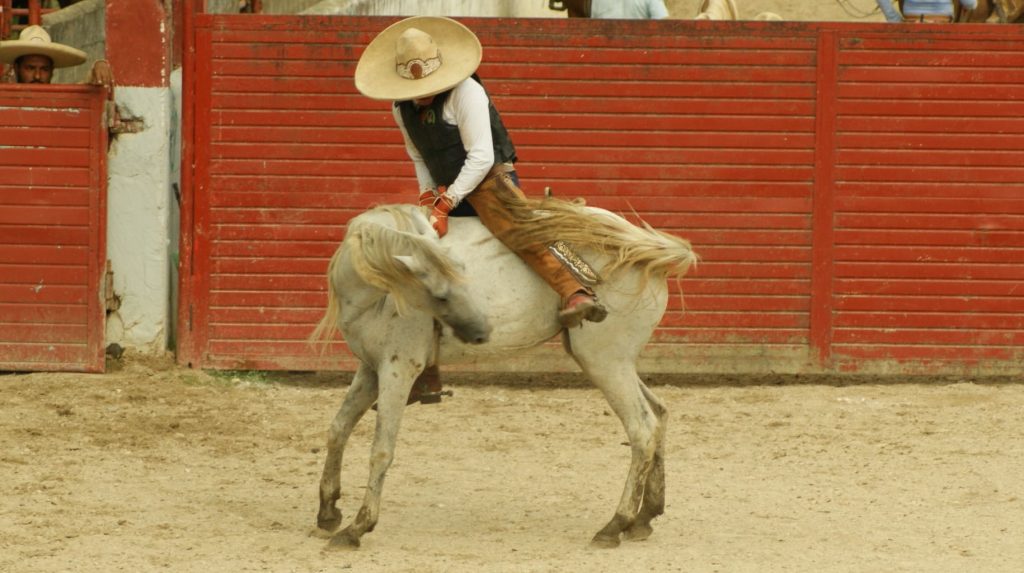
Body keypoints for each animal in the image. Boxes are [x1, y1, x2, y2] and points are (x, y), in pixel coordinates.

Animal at [309, 198, 696, 552]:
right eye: (441, 294)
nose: (482, 330)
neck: (377, 287)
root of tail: (642, 249)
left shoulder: (397, 368)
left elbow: (381, 450)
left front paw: (357, 527)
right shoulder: (370, 368)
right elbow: (337, 429)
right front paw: (328, 512)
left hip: (606, 361)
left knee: (642, 428)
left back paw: (615, 524)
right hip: (614, 362)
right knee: (659, 414)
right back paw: (644, 516)